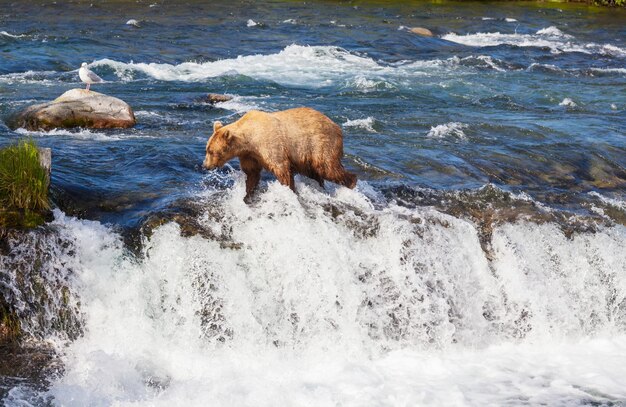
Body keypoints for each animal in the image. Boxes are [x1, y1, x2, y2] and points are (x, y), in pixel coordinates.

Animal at [204, 107, 356, 199]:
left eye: (211, 151)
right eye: (207, 149)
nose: (205, 166)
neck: (250, 140)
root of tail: (337, 126)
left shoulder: (270, 145)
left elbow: (281, 169)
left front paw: (289, 190)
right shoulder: (249, 155)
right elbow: (252, 174)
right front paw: (248, 195)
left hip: (319, 144)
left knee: (327, 167)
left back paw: (351, 183)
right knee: (314, 172)